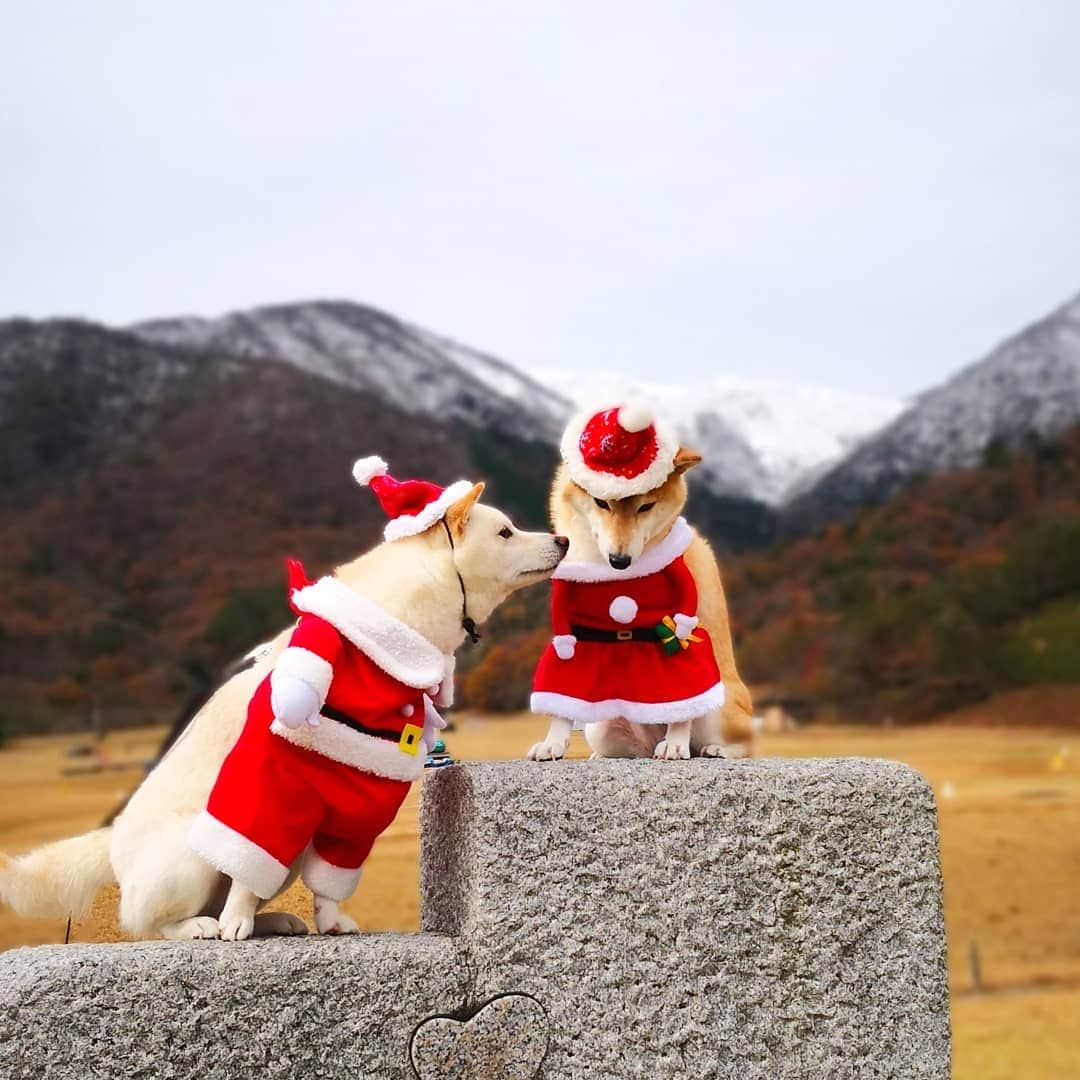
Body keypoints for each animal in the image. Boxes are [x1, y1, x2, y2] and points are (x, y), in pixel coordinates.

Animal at [0, 477, 570, 941]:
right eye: (506, 532)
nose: (563, 540)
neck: (387, 642)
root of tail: (113, 839)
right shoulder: (268, 783)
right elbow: (244, 867)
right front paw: (235, 924)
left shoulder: (365, 793)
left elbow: (331, 878)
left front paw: (329, 921)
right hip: (189, 858)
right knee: (151, 920)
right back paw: (204, 926)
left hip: (289, 859)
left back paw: (271, 921)